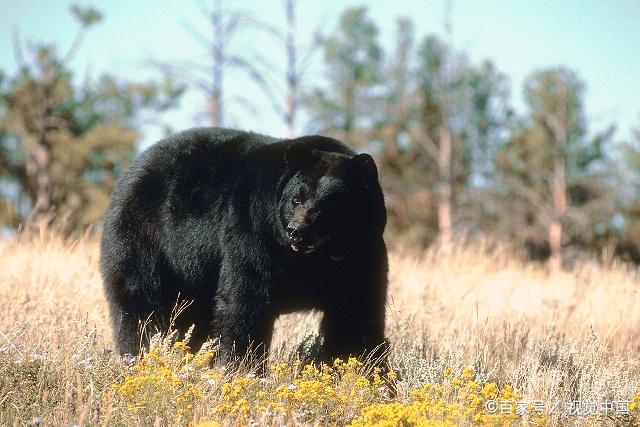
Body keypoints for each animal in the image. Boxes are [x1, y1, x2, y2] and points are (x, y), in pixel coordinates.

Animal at [99, 127, 388, 364]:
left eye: (330, 206)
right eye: (296, 199)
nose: (297, 232)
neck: (312, 259)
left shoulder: (361, 254)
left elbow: (356, 312)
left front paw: (359, 366)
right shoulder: (254, 231)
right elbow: (245, 298)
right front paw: (243, 366)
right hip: (147, 243)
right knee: (141, 303)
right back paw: (141, 356)